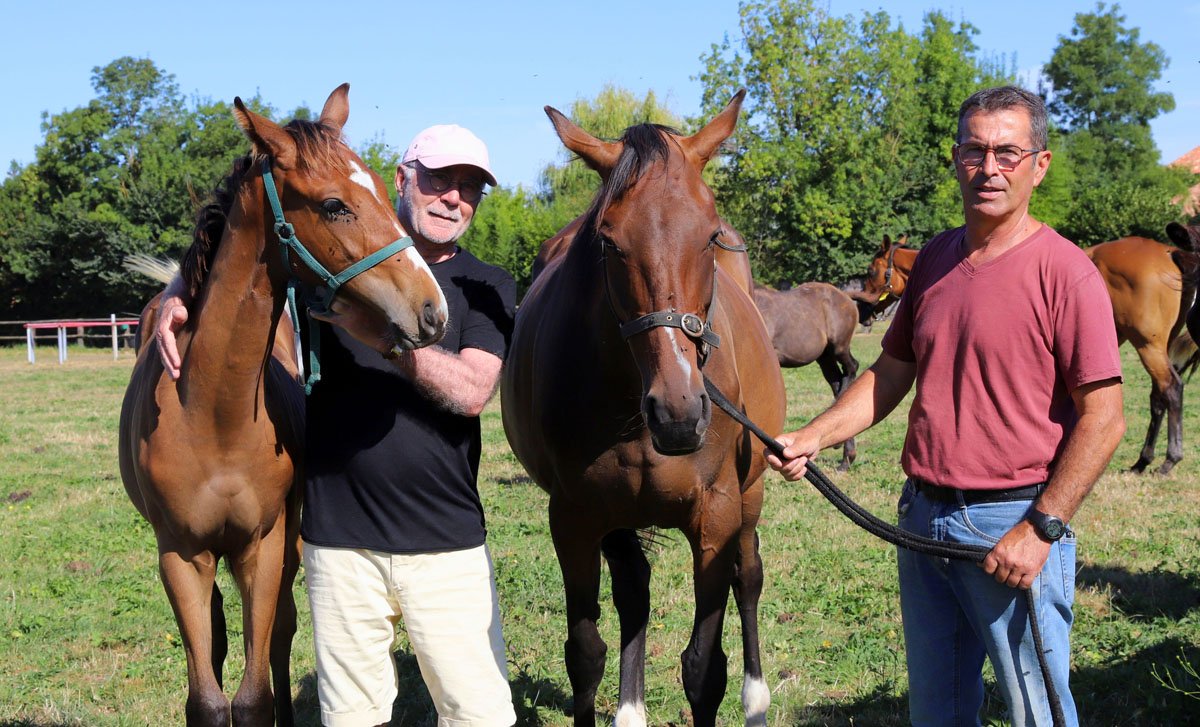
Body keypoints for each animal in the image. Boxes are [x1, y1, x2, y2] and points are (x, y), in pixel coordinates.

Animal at [118, 85, 446, 726]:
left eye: (381, 185)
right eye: (333, 204)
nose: (432, 310)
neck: (212, 416)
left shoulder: (263, 548)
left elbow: (254, 695)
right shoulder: (180, 556)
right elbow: (207, 699)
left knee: (277, 638)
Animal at [502, 91, 786, 726]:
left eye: (711, 236)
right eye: (608, 241)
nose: (678, 412)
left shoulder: (717, 515)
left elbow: (705, 667)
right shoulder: (576, 517)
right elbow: (585, 653)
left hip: (752, 490)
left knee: (749, 576)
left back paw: (756, 698)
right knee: (635, 590)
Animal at [752, 282, 859, 470]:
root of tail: (847, 298)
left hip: (839, 347)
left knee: (851, 369)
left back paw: (846, 455)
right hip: (824, 356)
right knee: (837, 382)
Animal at [1085, 222, 1200, 475]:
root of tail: (1169, 252)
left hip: (1149, 345)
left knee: (1171, 387)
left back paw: (1169, 460)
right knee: (1158, 395)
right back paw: (1142, 461)